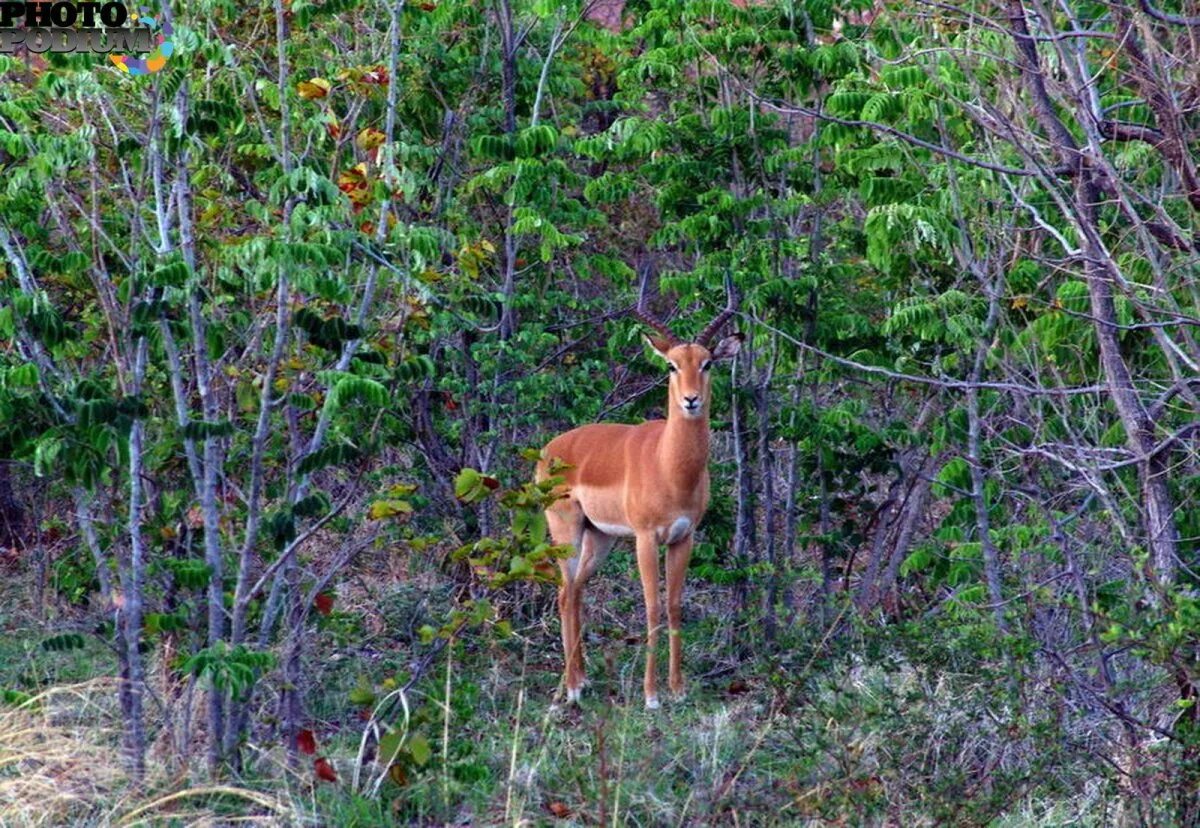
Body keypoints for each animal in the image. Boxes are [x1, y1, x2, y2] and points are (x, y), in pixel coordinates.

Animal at [535, 282, 739, 700]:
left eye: (707, 363)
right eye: (671, 365)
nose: (691, 400)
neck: (670, 466)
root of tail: (549, 449)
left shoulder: (683, 538)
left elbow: (674, 605)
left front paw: (677, 688)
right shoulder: (646, 538)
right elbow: (652, 606)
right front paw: (651, 695)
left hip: (600, 537)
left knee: (576, 591)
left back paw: (582, 679)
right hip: (566, 531)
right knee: (564, 592)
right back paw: (572, 688)